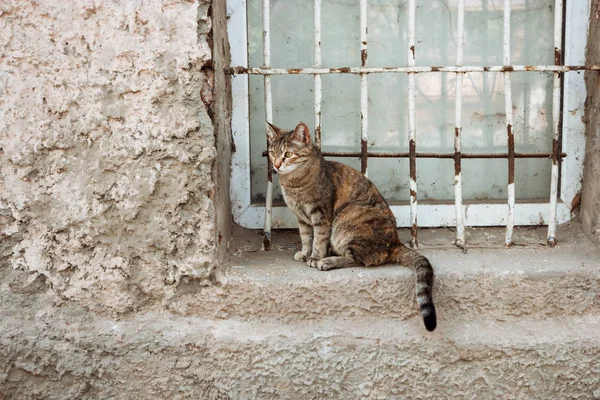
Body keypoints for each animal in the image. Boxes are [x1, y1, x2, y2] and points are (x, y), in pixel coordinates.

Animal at [268, 121, 436, 332]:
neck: (293, 183)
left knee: (358, 260)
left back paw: (328, 261)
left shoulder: (321, 215)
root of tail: (395, 242)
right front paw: (305, 253)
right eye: (272, 153)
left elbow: (318, 240)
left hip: (345, 223)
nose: (276, 165)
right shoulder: (302, 219)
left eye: (288, 154)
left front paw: (315, 257)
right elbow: (306, 238)